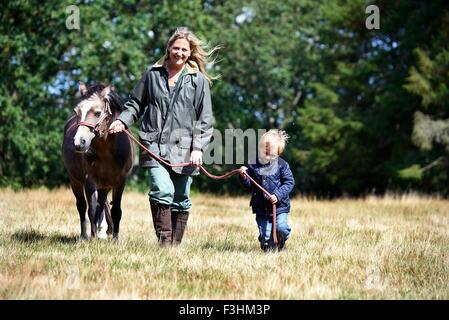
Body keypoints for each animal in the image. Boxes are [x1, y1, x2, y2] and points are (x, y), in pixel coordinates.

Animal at [62, 82, 133, 240]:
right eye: (77, 112)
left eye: (98, 113)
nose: (79, 143)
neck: (107, 152)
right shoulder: (90, 180)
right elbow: (91, 210)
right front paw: (93, 238)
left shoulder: (120, 181)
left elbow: (116, 210)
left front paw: (115, 239)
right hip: (75, 181)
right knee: (82, 206)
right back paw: (85, 236)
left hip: (105, 186)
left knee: (102, 204)